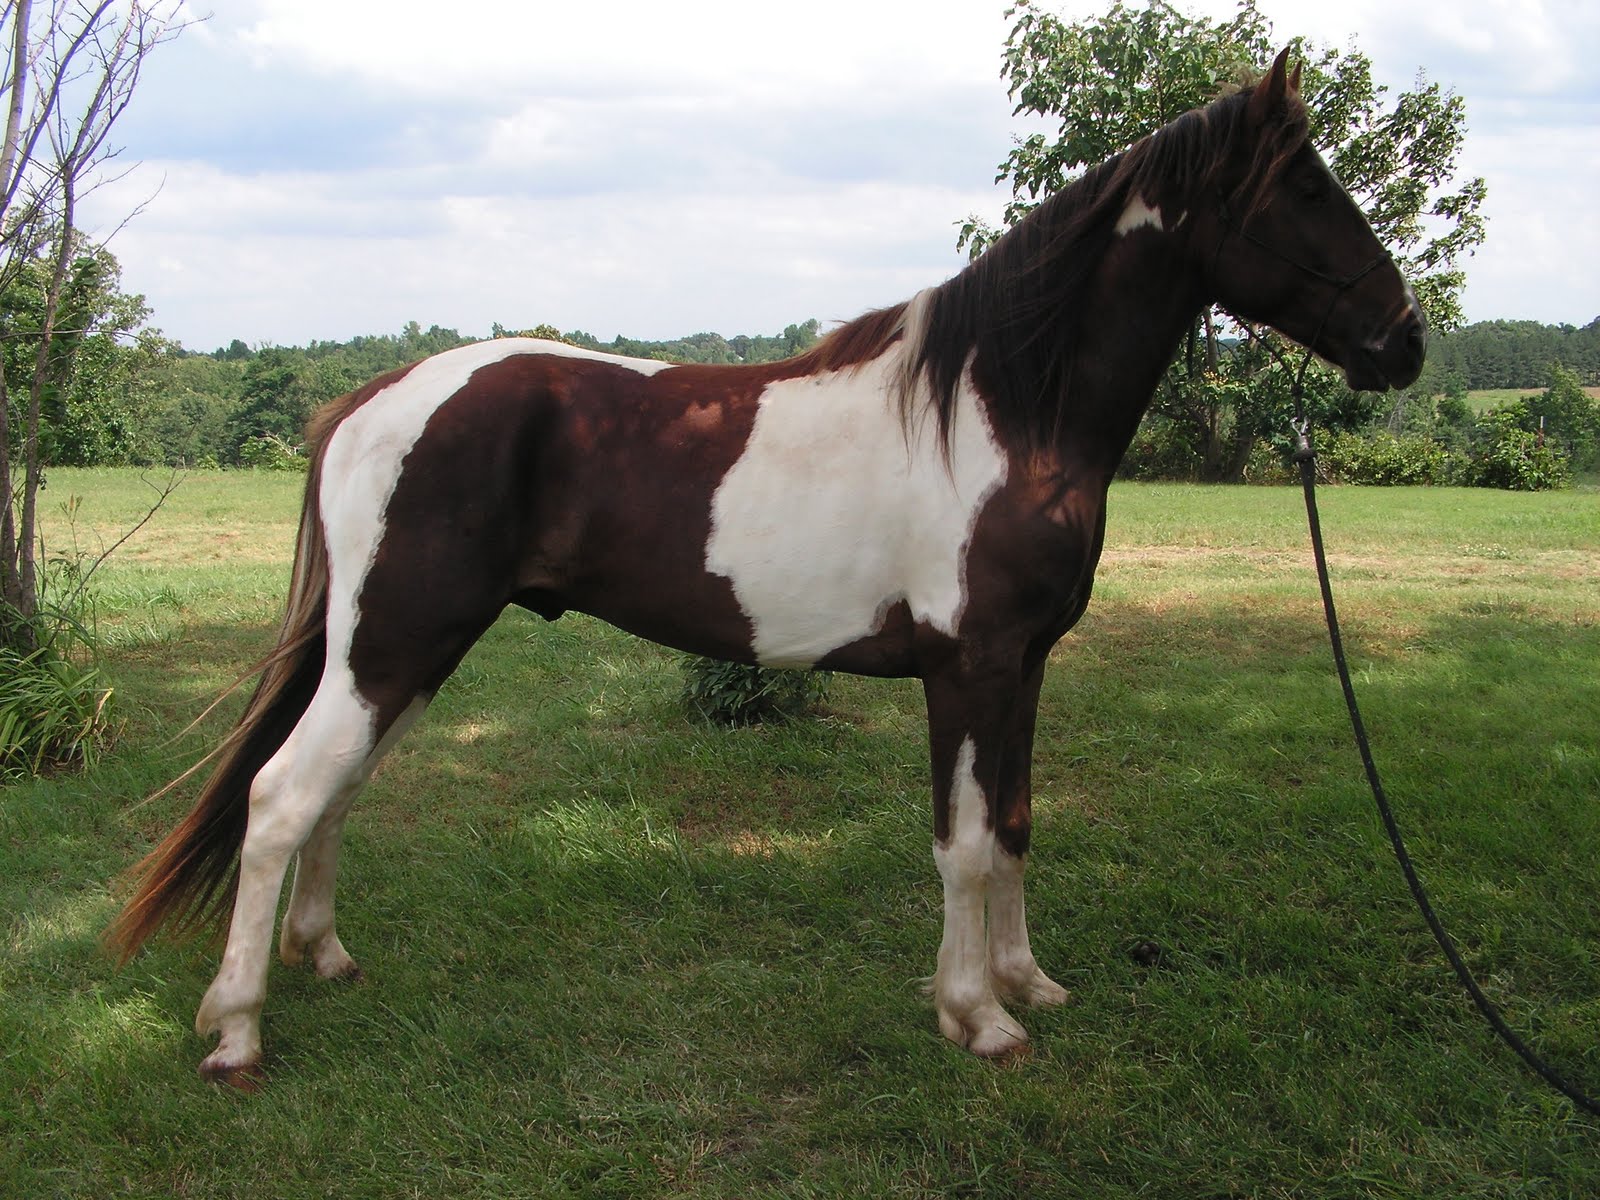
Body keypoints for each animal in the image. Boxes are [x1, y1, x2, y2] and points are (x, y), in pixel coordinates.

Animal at [107, 51, 1424, 1087]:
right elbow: (962, 841)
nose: (1402, 341)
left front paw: (1026, 982)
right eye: (1304, 188)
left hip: (405, 654)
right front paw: (977, 1018)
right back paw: (236, 1033)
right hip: (392, 644)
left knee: (335, 791)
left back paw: (322, 956)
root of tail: (372, 400)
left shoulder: (1026, 667)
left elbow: (1013, 822)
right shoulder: (968, 667)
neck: (999, 409)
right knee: (282, 796)